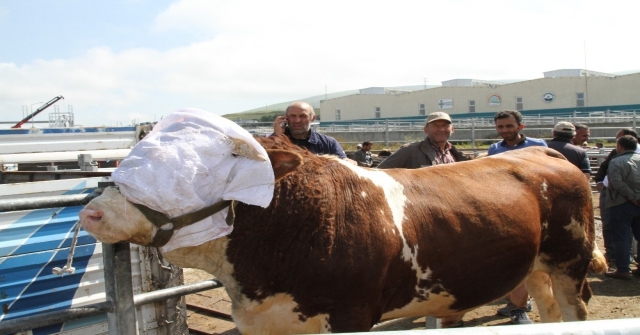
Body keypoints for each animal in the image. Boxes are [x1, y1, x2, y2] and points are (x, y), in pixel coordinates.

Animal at [80, 135, 604, 334]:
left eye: (195, 172)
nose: (92, 213)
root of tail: (542, 151)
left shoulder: (350, 315)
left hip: (570, 263)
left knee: (574, 309)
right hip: (535, 266)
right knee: (548, 308)